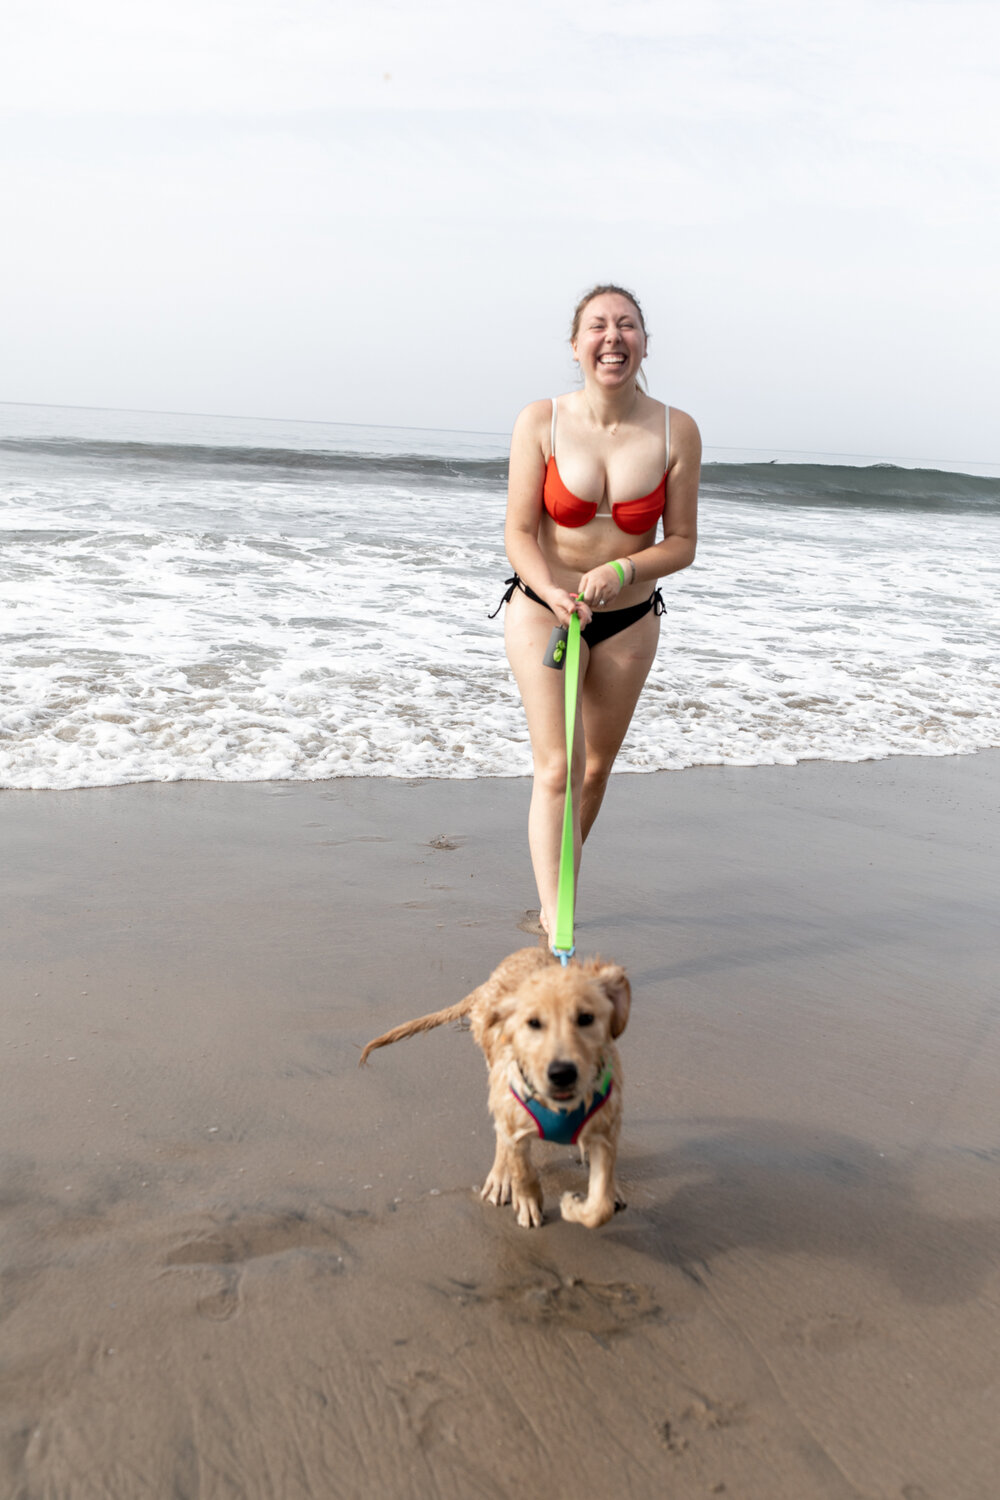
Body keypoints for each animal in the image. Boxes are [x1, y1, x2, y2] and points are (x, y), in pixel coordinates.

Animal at [359, 948, 629, 1230]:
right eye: (533, 1023)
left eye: (586, 1018)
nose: (561, 1073)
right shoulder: (513, 1120)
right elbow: (522, 1168)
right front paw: (529, 1201)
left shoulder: (606, 1130)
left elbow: (600, 1206)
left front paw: (581, 1203)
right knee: (502, 1139)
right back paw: (500, 1179)